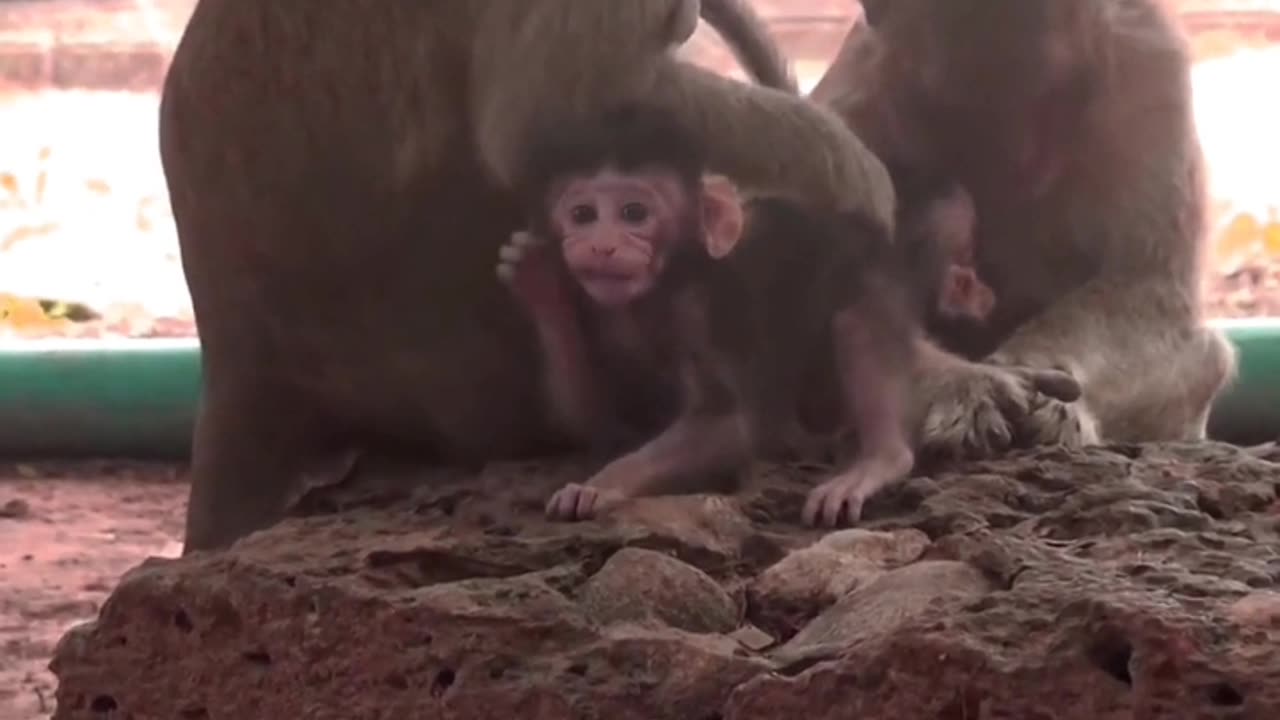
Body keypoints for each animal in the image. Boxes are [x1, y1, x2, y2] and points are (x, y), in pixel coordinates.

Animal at [808, 0, 1239, 456]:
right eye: (951, 117)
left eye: (1057, 103)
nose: (1022, 167)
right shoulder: (851, 111)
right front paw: (961, 384)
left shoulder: (1149, 73)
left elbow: (1152, 291)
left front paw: (1043, 389)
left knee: (1204, 355)